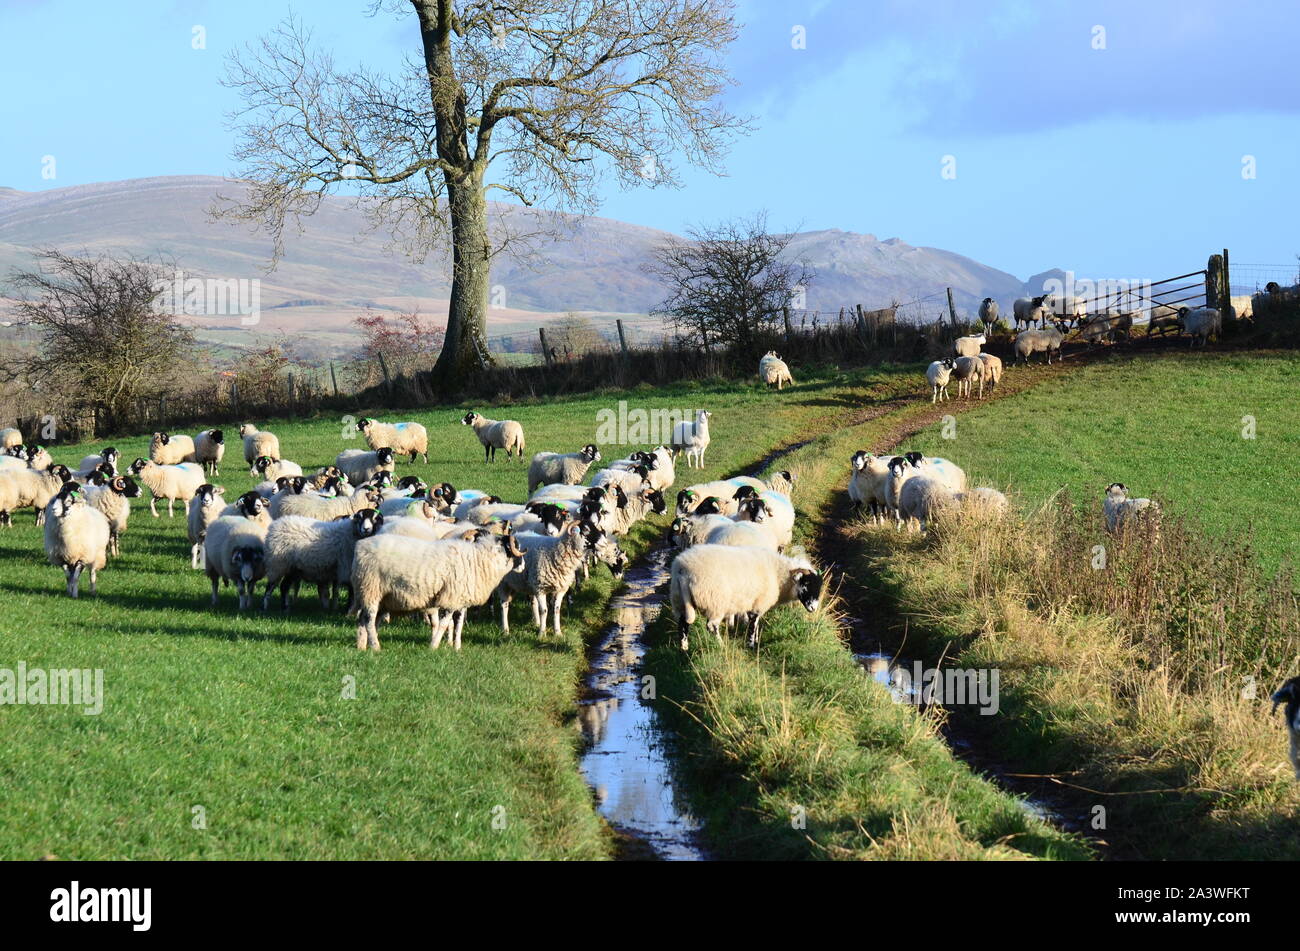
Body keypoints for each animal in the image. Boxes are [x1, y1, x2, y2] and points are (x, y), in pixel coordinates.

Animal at [351, 530, 526, 651]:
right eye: (515, 546)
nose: (524, 566)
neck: (479, 559)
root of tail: (360, 547)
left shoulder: (461, 600)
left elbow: (459, 625)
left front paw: (457, 648)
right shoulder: (450, 598)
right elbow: (444, 624)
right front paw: (434, 646)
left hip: (380, 596)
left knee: (363, 620)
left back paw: (362, 646)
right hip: (370, 589)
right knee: (369, 619)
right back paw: (375, 647)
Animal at [496, 524, 626, 637]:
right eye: (586, 529)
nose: (620, 576)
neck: (556, 551)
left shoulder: (559, 588)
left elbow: (556, 609)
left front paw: (557, 632)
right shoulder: (540, 588)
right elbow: (544, 610)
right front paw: (542, 633)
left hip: (525, 583)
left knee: (531, 602)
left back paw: (536, 622)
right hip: (504, 584)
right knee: (504, 605)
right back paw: (505, 630)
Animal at [669, 545, 823, 650]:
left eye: (819, 587)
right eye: (806, 583)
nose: (813, 608)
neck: (778, 575)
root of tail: (684, 571)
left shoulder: (755, 603)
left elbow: (755, 624)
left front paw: (755, 641)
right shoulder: (758, 603)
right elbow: (753, 624)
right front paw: (751, 645)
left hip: (679, 599)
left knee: (683, 623)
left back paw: (684, 649)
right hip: (716, 602)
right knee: (711, 626)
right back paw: (721, 645)